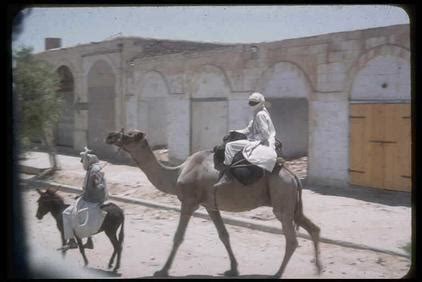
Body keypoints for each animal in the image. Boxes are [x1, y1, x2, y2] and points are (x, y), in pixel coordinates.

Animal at [104, 129, 320, 278]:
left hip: (282, 200)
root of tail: (293, 176)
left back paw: (278, 273)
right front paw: (233, 269)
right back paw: (318, 267)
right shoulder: (210, 205)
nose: (110, 136)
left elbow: (178, 236)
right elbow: (224, 235)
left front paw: (162, 270)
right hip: (292, 204)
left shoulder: (189, 202)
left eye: (129, 134)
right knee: (313, 228)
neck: (177, 174)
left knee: (292, 239)